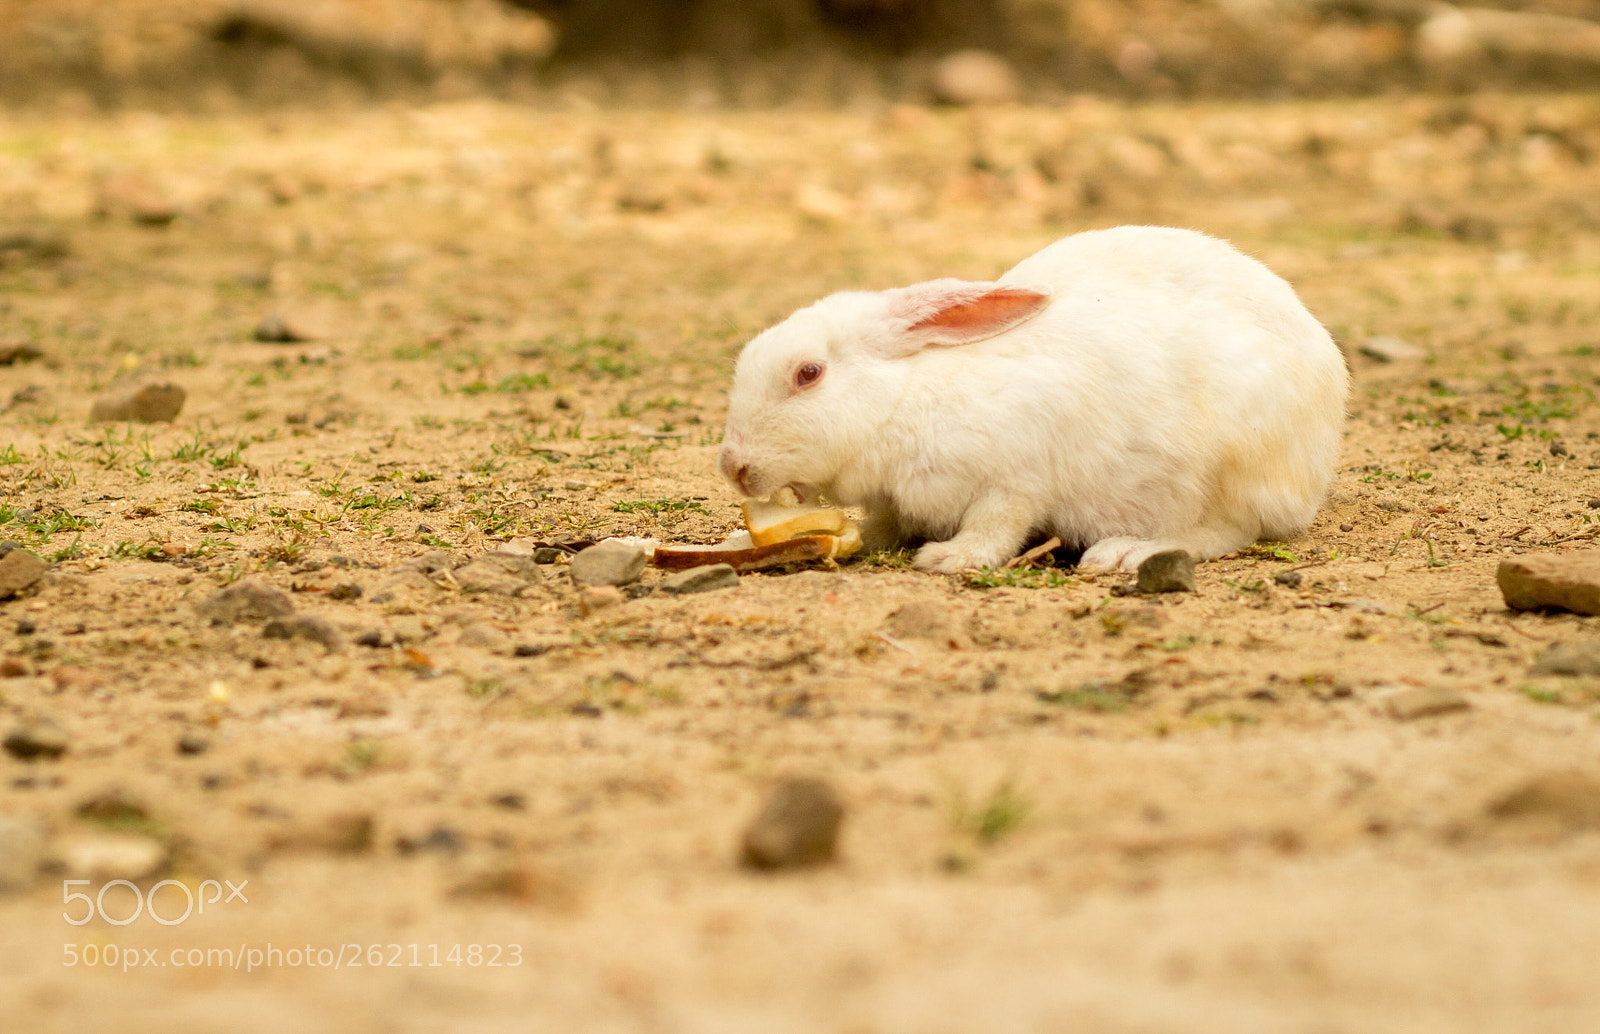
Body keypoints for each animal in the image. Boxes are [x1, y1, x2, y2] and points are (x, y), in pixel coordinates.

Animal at [717, 225, 1349, 574]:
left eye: (809, 373)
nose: (732, 466)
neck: (906, 398)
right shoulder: (899, 501)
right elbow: (881, 525)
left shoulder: (1017, 477)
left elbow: (997, 524)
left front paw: (949, 559)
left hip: (1233, 464)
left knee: (1228, 530)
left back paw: (1126, 553)